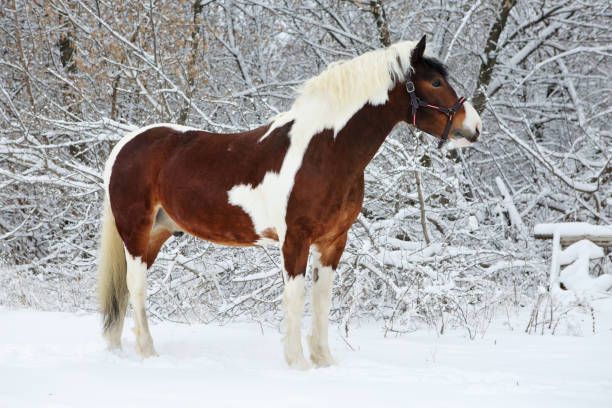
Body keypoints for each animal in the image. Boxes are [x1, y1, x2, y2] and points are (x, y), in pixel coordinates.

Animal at [98, 35, 482, 368]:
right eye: (435, 82)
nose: (474, 127)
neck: (324, 151)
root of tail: (125, 146)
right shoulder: (295, 240)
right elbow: (295, 299)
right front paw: (298, 363)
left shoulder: (333, 242)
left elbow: (322, 300)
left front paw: (324, 361)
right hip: (135, 233)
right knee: (136, 288)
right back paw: (147, 353)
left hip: (157, 234)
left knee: (125, 291)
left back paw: (117, 348)